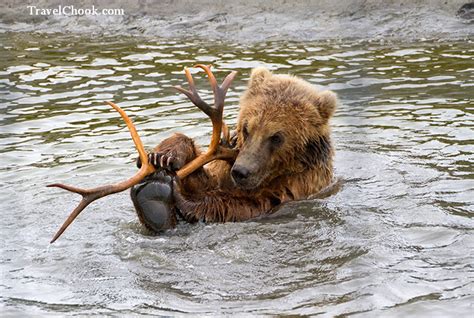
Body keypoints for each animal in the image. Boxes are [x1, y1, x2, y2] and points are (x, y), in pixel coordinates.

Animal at [130, 67, 336, 231]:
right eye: (246, 127)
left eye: (276, 137)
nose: (241, 171)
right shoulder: (225, 169)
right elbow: (206, 178)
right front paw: (162, 157)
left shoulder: (299, 186)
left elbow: (244, 206)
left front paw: (178, 196)